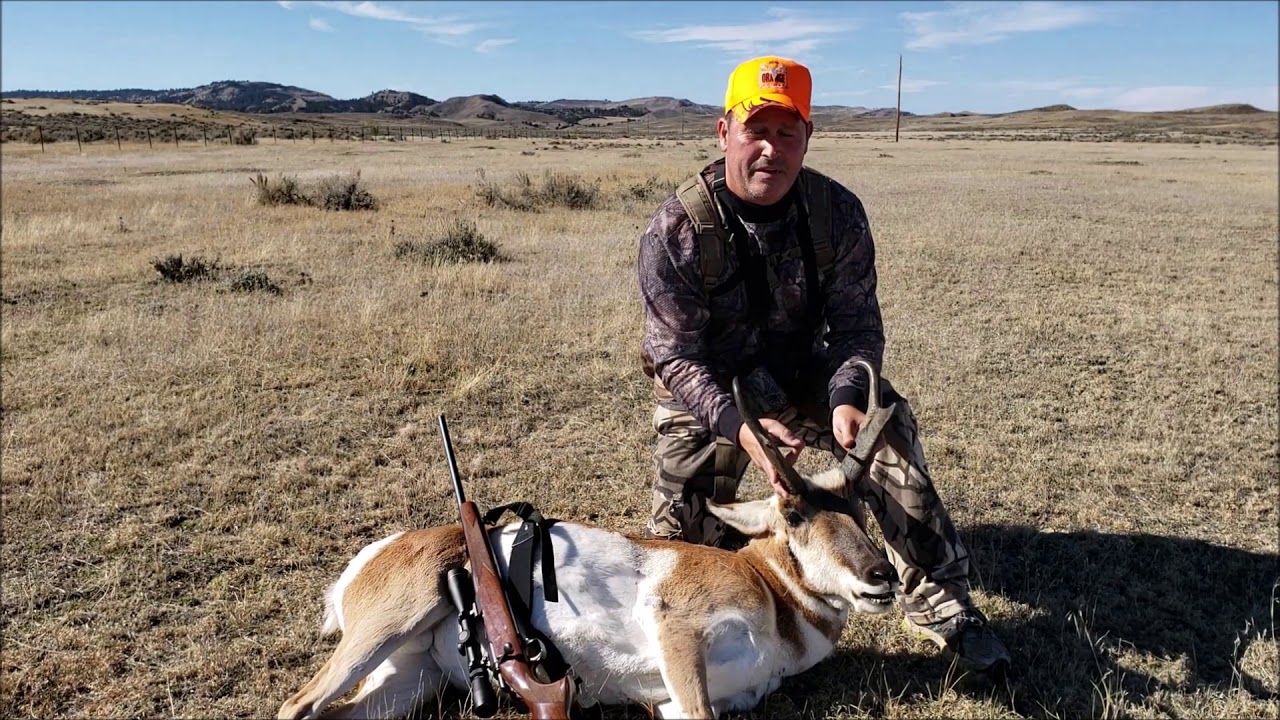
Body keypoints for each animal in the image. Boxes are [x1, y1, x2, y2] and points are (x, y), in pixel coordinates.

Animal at [278, 382, 898, 720]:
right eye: (794, 514)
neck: (771, 593)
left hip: (410, 681)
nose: (881, 576)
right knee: (296, 705)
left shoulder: (680, 703)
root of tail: (377, 553)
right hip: (387, 627)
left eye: (860, 507)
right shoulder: (675, 628)